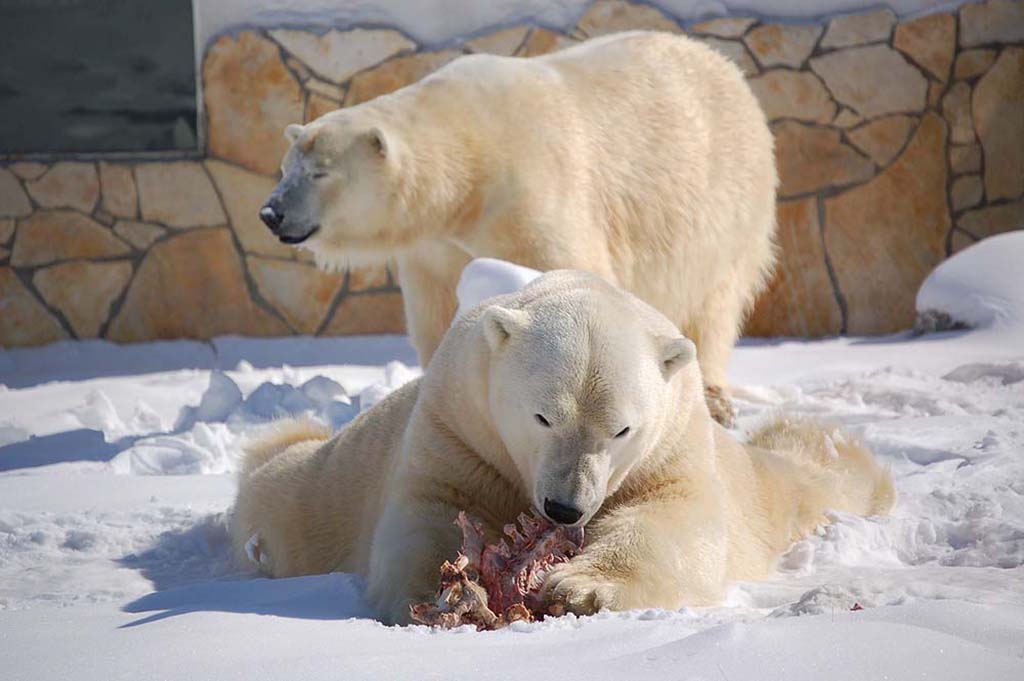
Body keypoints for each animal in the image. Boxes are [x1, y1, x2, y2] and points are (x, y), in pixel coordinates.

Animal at [230, 268, 888, 622]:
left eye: (622, 428)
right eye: (543, 416)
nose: (565, 507)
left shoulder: (671, 447)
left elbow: (670, 518)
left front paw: (579, 589)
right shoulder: (458, 427)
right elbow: (433, 514)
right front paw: (450, 593)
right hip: (331, 482)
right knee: (284, 487)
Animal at [260, 31, 778, 428]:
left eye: (320, 172)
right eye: (285, 167)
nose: (271, 212)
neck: (468, 165)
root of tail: (725, 67)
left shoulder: (531, 193)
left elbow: (569, 277)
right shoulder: (436, 246)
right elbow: (436, 310)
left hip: (723, 204)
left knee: (713, 305)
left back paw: (712, 399)